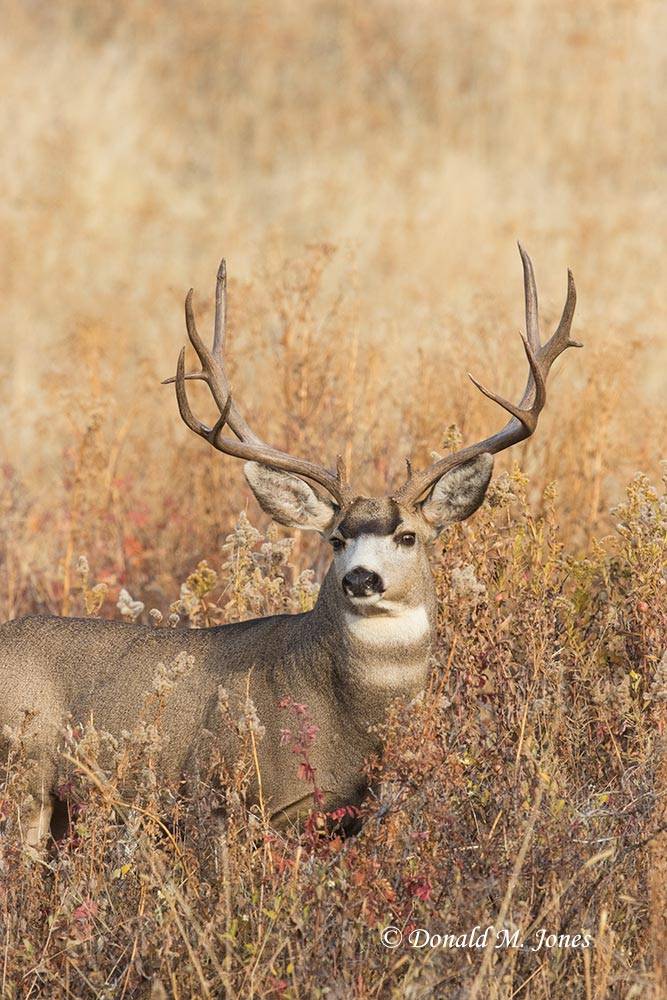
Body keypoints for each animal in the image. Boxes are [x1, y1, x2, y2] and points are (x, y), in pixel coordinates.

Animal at [0, 246, 580, 846]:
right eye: (336, 538)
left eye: (408, 535)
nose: (360, 578)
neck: (346, 723)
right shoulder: (217, 795)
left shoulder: (356, 812)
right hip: (25, 772)